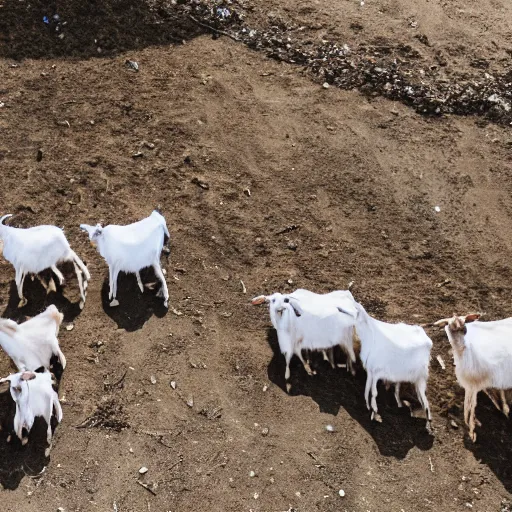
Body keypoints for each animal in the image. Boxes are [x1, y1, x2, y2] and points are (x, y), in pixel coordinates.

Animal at [434, 314, 512, 442]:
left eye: (465, 320)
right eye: (451, 323)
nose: (463, 329)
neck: (463, 350)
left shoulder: (475, 385)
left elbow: (472, 406)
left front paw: (471, 431)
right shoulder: (469, 385)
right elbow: (467, 405)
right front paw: (467, 423)